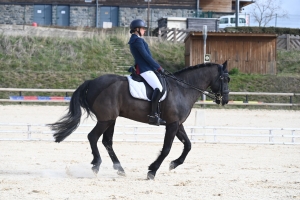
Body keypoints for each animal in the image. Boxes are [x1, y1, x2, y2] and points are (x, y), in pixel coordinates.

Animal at [48, 61, 230, 180]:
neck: (183, 88)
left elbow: (188, 145)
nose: (226, 100)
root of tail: (92, 82)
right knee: (93, 137)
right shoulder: (172, 125)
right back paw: (96, 164)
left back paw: (120, 169)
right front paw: (152, 171)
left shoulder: (178, 124)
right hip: (105, 119)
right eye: (225, 79)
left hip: (111, 119)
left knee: (107, 141)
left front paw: (174, 164)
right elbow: (166, 149)